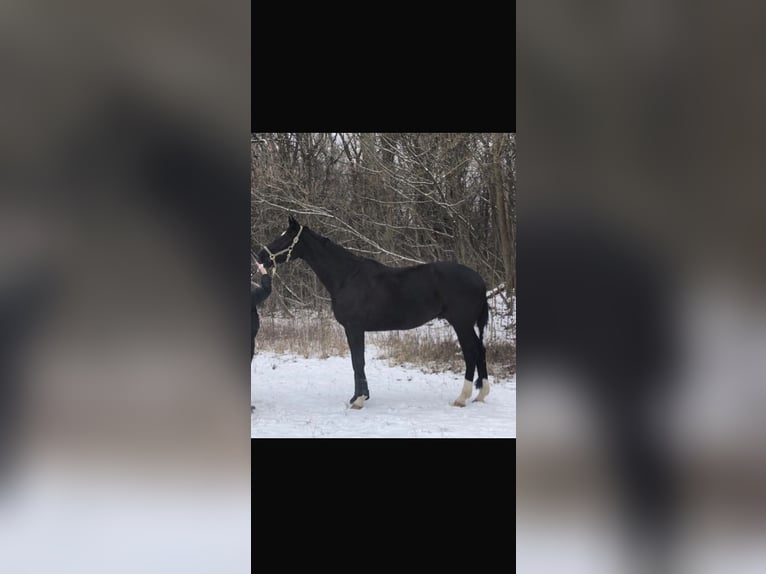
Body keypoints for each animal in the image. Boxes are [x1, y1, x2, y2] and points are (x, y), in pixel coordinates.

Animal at [258, 216, 492, 410]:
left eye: (286, 238)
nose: (260, 256)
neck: (346, 276)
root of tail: (479, 280)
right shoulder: (352, 329)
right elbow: (356, 361)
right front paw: (358, 396)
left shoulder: (354, 328)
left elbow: (358, 361)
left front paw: (359, 401)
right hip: (466, 325)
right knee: (480, 350)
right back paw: (481, 395)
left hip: (461, 324)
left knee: (471, 353)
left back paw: (461, 398)